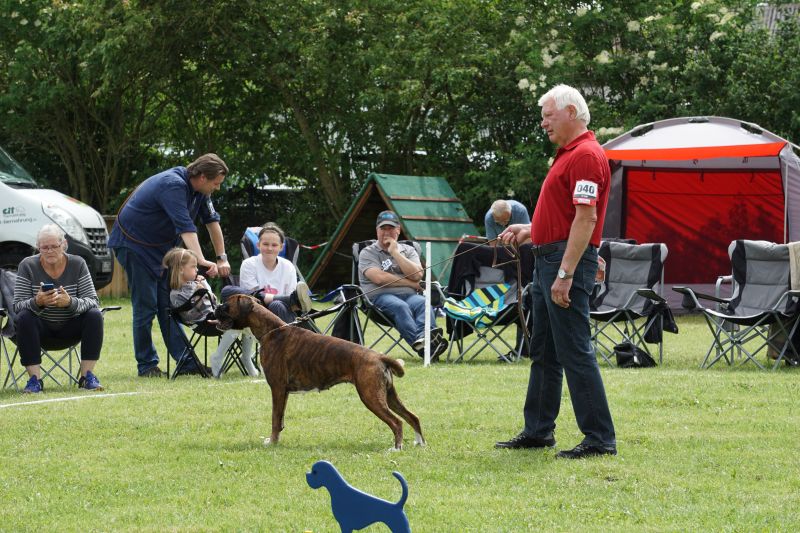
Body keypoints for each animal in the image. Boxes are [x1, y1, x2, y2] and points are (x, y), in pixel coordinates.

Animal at [212, 294, 424, 450]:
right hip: (388, 395)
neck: (272, 331)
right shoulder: (283, 392)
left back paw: (396, 448)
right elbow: (280, 419)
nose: (215, 306)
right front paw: (275, 439)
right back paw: (420, 443)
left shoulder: (277, 389)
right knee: (412, 416)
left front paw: (272, 442)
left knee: (397, 422)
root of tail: (379, 357)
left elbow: (274, 418)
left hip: (370, 396)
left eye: (226, 305)